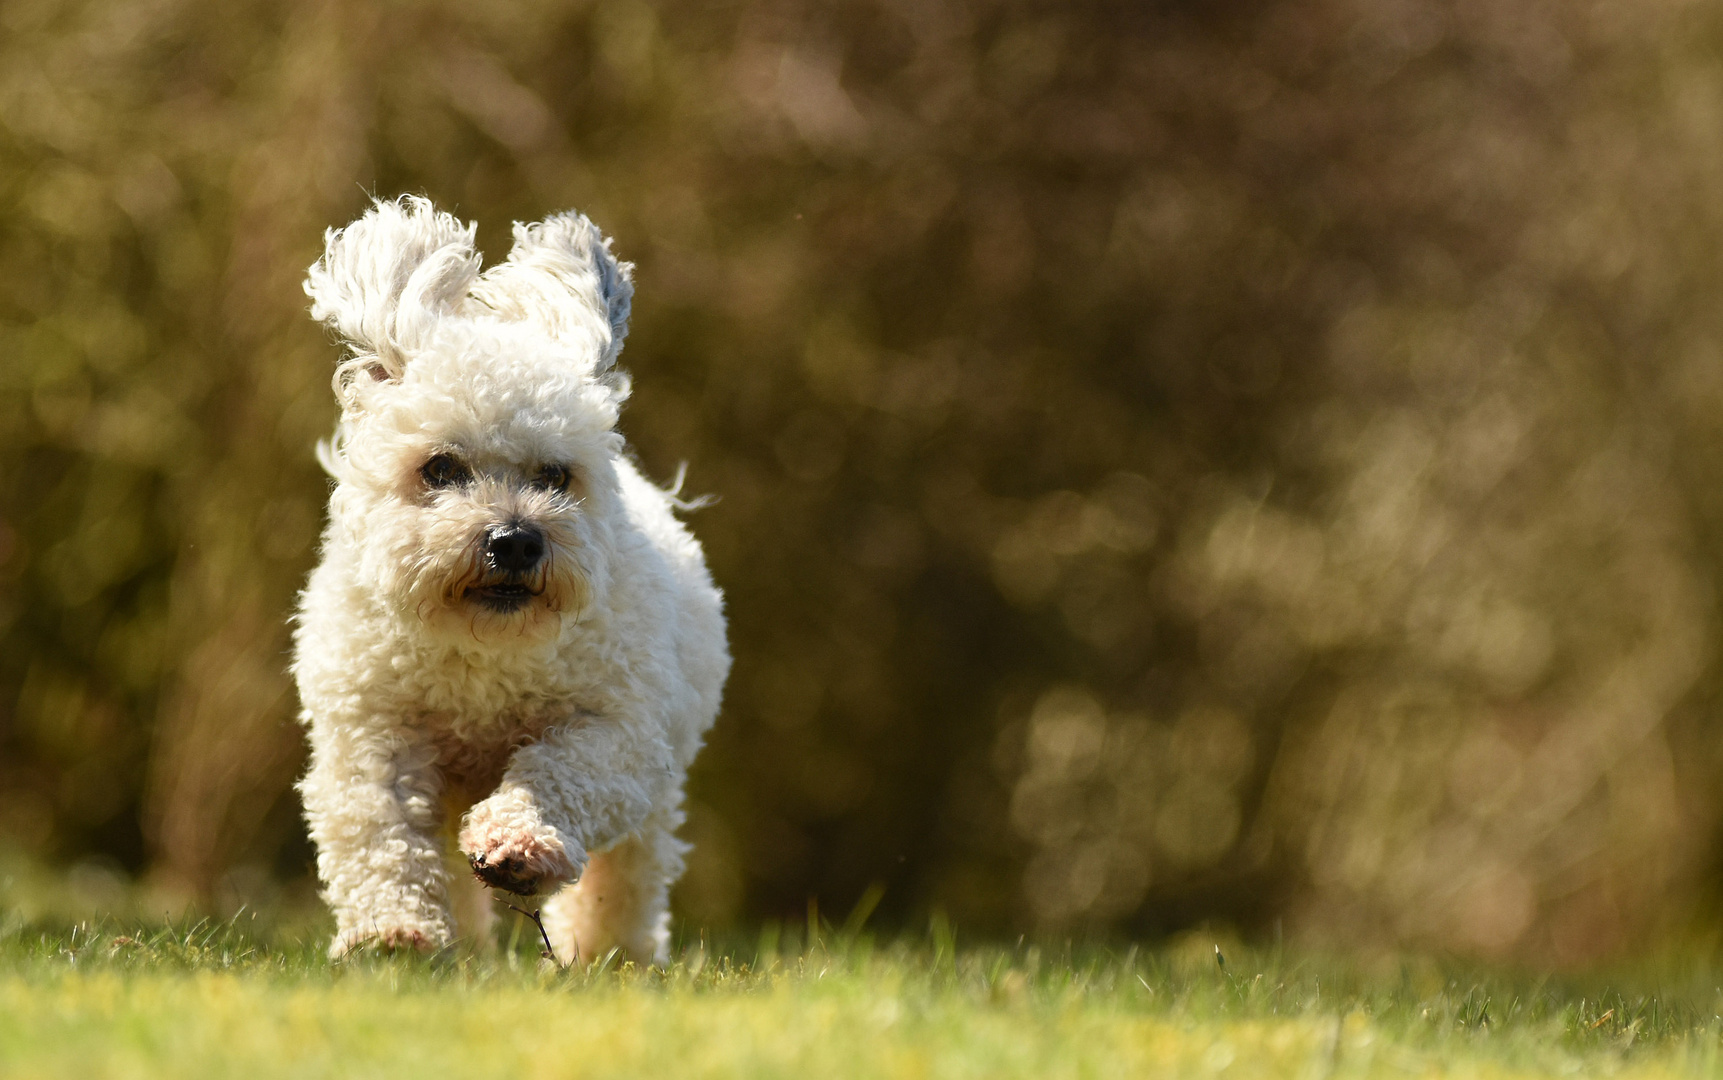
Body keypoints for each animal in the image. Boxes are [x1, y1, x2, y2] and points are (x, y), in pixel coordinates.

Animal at [291, 194, 733, 964]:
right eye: (439, 467)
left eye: (555, 475)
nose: (517, 541)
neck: (483, 652)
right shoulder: (372, 734)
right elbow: (380, 833)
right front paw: (393, 934)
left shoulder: (616, 731)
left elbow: (556, 777)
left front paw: (520, 846)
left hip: (657, 783)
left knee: (629, 873)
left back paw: (609, 954)